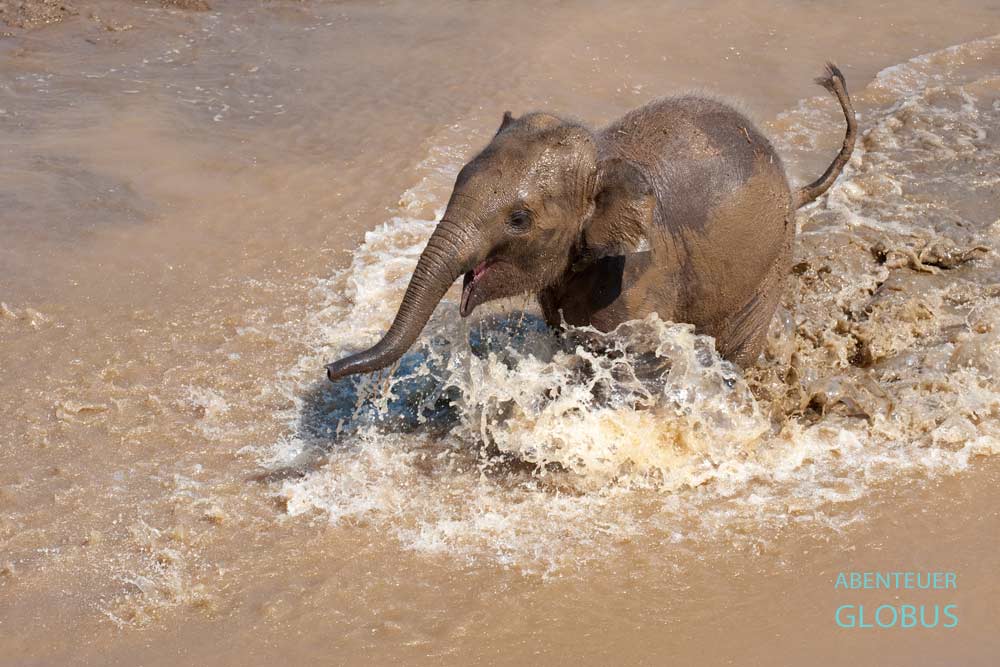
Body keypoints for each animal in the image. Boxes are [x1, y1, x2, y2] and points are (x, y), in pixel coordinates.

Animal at [326, 64, 856, 382]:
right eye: (457, 179)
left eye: (518, 219)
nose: (330, 369)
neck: (603, 158)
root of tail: (794, 187)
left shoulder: (641, 277)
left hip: (770, 266)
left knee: (738, 347)